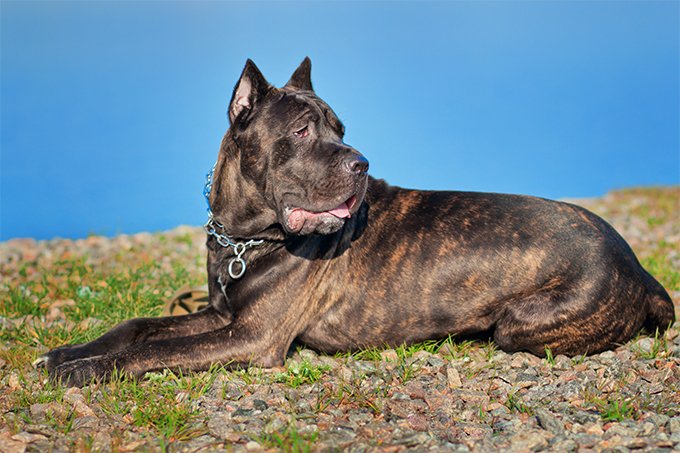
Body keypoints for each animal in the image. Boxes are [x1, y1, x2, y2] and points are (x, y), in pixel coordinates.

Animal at [37, 58, 676, 386]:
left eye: (341, 129)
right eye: (301, 131)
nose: (360, 161)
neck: (245, 237)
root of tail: (638, 266)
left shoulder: (251, 336)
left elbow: (152, 352)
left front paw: (90, 370)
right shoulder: (222, 315)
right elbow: (139, 328)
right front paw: (70, 353)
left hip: (519, 322)